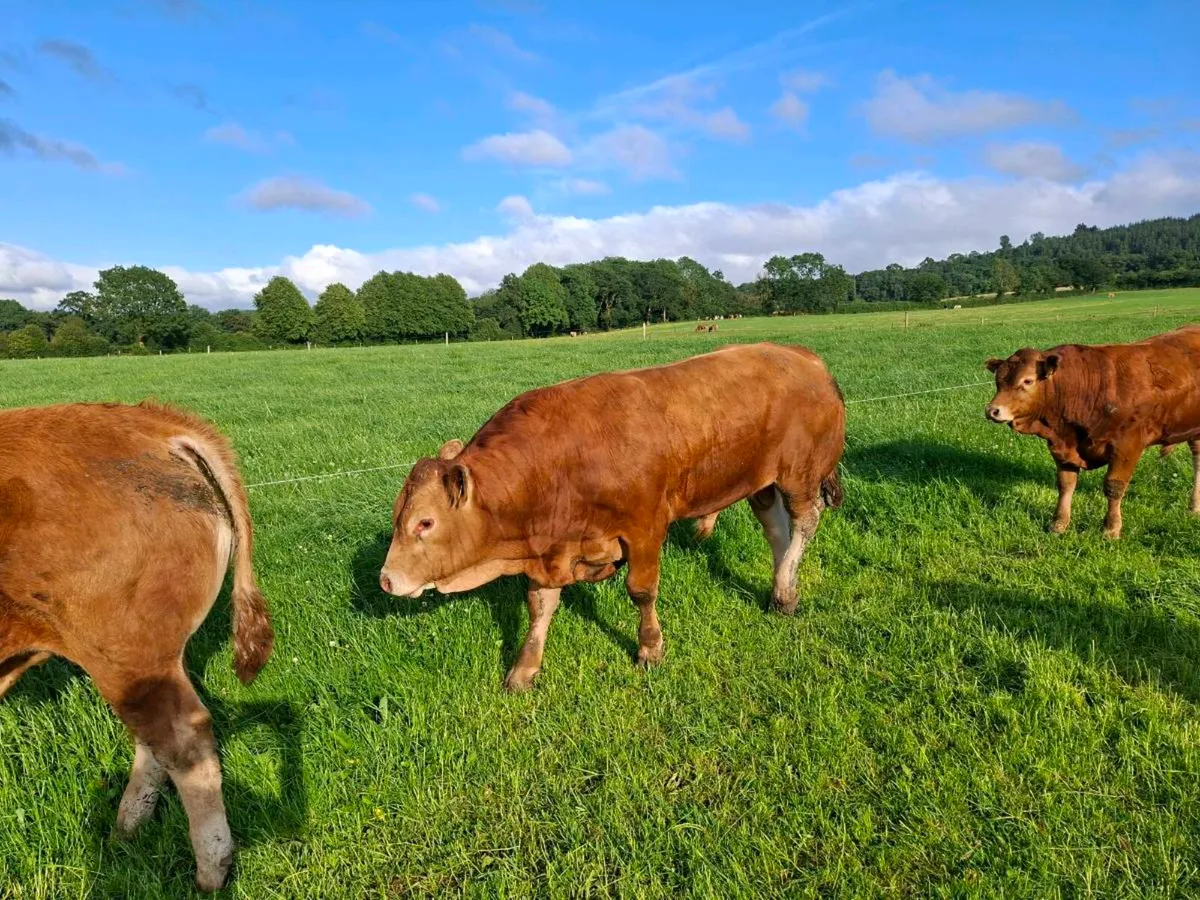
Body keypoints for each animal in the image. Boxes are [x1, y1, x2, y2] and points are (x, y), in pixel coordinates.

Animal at [0, 401, 274, 891]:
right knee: (153, 740)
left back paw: (209, 871)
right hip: (143, 661)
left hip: (123, 652)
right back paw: (127, 830)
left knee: (183, 741)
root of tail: (154, 423)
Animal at [378, 342, 846, 692]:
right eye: (397, 516)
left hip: (801, 473)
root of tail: (803, 356)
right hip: (761, 481)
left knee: (805, 522)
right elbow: (539, 606)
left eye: (425, 523)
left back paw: (784, 591)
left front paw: (650, 648)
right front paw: (524, 669)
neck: (560, 463)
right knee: (776, 529)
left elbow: (641, 591)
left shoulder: (644, 527)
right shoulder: (551, 549)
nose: (386, 580)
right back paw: (783, 586)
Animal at [985, 325, 1200, 539]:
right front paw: (1059, 524)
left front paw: (1111, 529)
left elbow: (1114, 486)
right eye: (998, 381)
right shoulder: (1062, 447)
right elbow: (1065, 484)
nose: (992, 410)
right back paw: (1194, 507)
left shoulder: (1127, 446)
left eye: (1028, 381)